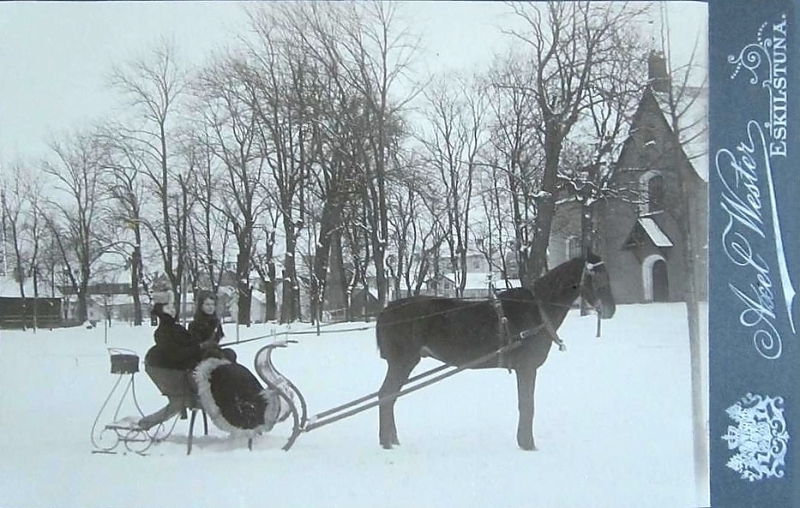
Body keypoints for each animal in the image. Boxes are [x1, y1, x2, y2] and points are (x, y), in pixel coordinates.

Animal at [376, 250, 620, 448]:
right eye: (597, 275)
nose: (610, 310)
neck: (537, 311)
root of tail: (387, 310)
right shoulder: (527, 368)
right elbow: (527, 405)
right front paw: (527, 444)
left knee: (389, 396)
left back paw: (392, 439)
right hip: (402, 362)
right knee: (385, 395)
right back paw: (386, 442)